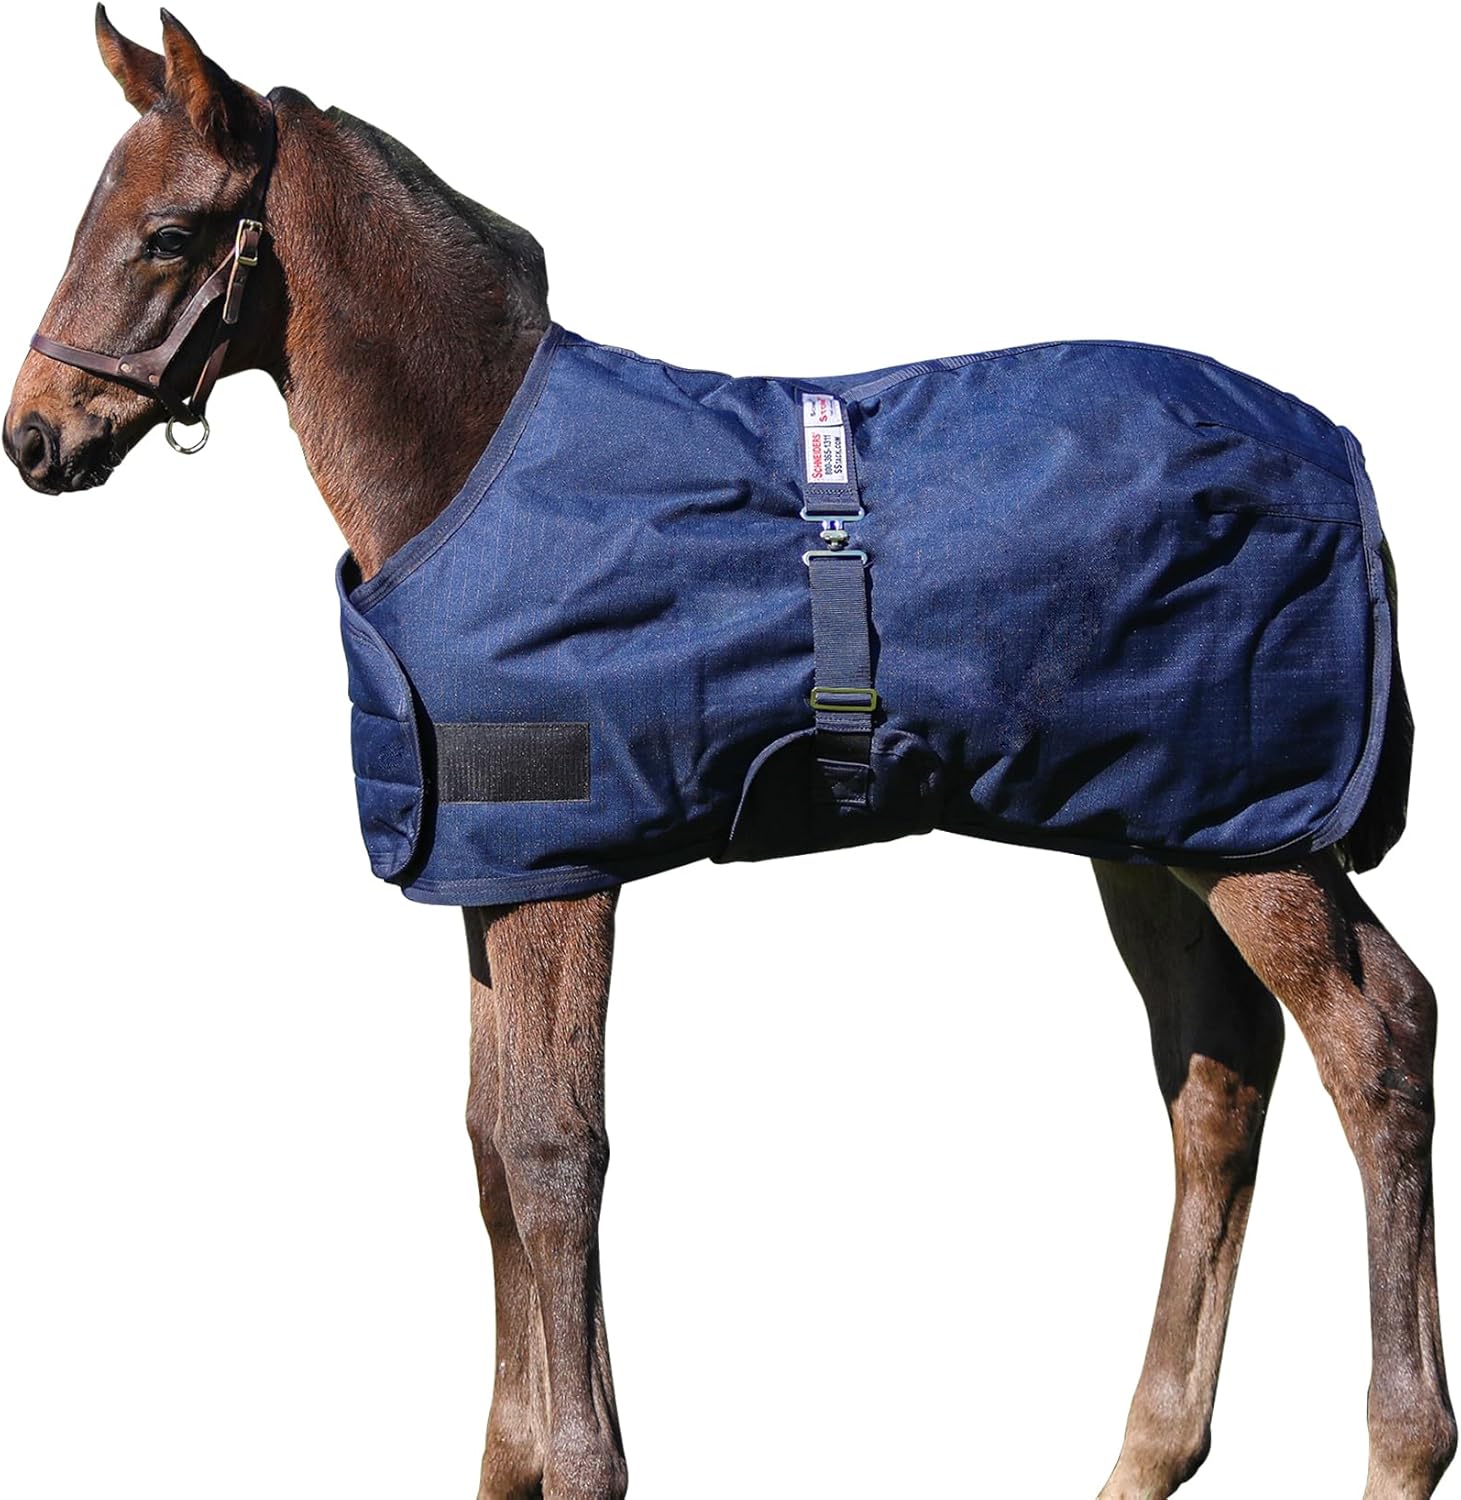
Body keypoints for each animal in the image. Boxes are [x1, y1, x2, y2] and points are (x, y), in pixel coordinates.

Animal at [5, 11, 1454, 1498]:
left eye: (168, 235)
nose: (36, 438)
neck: (467, 467)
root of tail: (1342, 458)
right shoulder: (487, 875)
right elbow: (486, 1148)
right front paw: (517, 1457)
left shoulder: (565, 874)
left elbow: (553, 1152)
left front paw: (581, 1464)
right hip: (1154, 831)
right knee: (1217, 1072)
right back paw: (1149, 1451)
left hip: (1261, 835)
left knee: (1377, 1039)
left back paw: (1403, 1446)